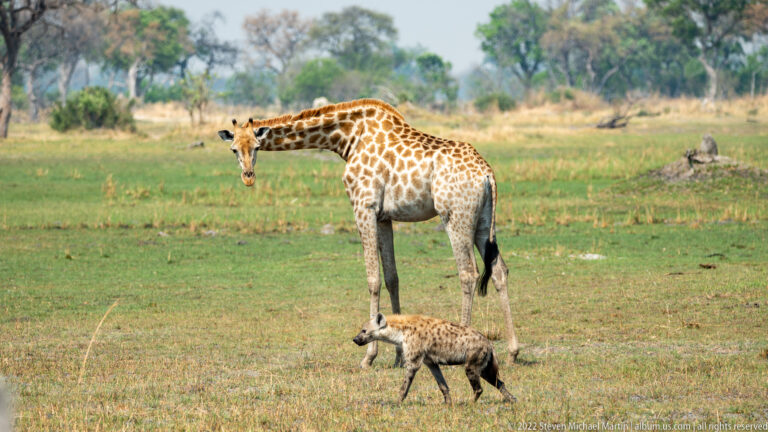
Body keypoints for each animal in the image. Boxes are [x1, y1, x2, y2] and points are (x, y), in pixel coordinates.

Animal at [218, 99, 520, 367]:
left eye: (256, 146)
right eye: (233, 149)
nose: (248, 176)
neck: (349, 138)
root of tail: (487, 173)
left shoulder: (363, 206)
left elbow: (373, 280)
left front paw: (368, 356)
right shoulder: (384, 216)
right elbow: (392, 278)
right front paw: (398, 354)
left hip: (455, 217)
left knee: (467, 273)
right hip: (482, 222)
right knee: (499, 271)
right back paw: (513, 352)